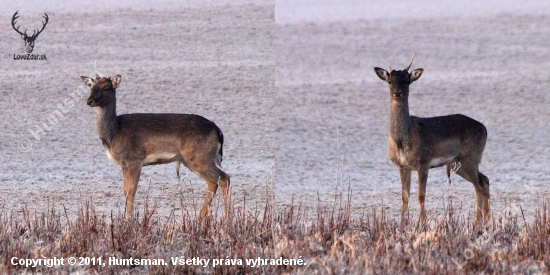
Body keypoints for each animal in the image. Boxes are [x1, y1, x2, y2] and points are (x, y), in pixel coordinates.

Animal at [80, 65, 231, 220]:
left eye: (106, 88)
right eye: (91, 87)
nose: (89, 101)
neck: (115, 132)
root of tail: (218, 132)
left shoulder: (134, 158)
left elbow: (131, 189)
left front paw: (129, 219)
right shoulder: (124, 163)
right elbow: (125, 189)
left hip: (201, 157)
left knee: (224, 178)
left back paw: (226, 217)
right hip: (191, 160)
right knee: (213, 182)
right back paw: (199, 217)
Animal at [376, 55, 492, 224]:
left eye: (407, 80)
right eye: (390, 81)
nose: (397, 93)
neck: (402, 140)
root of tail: (484, 129)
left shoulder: (423, 162)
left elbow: (421, 195)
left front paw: (423, 224)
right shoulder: (402, 166)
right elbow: (404, 196)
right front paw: (403, 225)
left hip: (471, 156)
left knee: (479, 186)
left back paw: (478, 223)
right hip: (458, 163)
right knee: (485, 179)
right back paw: (487, 220)